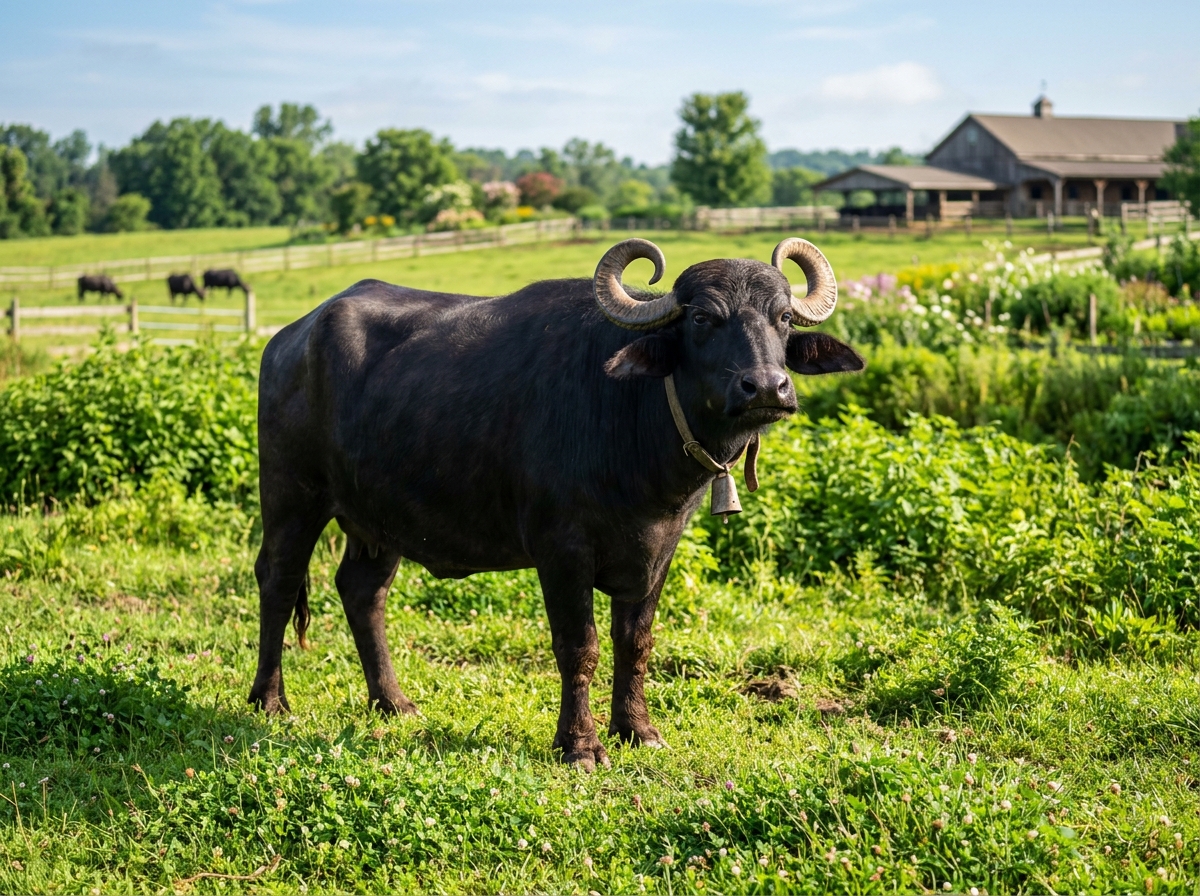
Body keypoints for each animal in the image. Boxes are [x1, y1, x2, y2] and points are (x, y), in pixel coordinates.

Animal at [250, 238, 863, 769]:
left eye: (782, 317)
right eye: (702, 320)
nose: (766, 387)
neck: (631, 423)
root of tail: (290, 338)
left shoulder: (658, 553)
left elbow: (635, 643)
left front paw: (637, 730)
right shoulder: (561, 550)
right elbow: (578, 646)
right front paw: (581, 745)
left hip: (378, 519)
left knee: (362, 592)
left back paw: (393, 702)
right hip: (292, 494)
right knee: (277, 580)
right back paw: (269, 700)